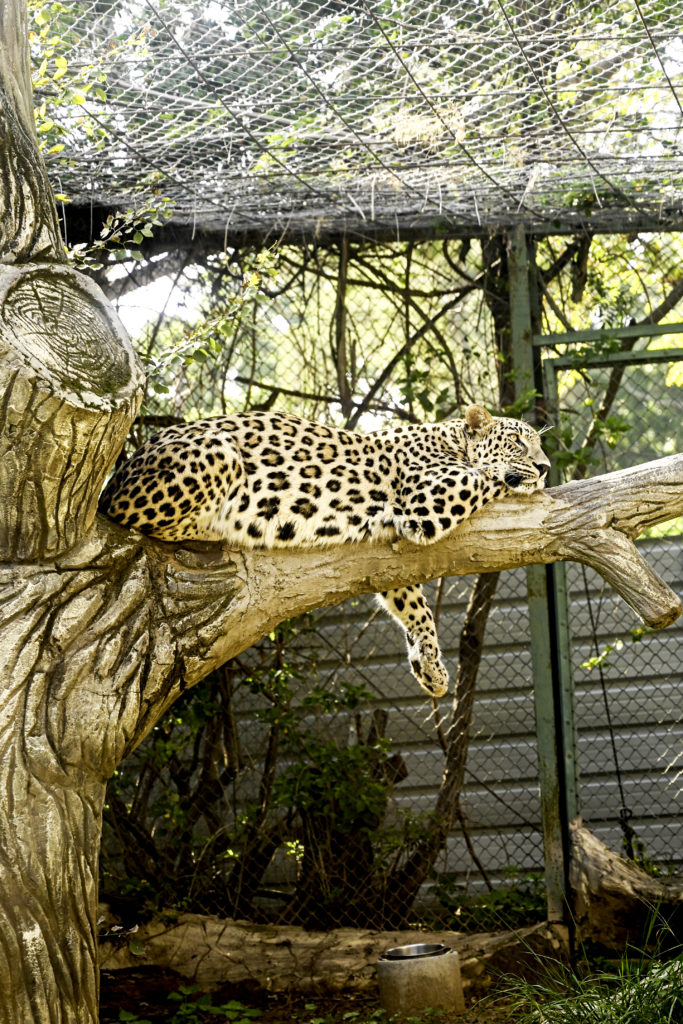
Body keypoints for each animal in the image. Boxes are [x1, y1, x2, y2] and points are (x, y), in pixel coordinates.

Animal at [100, 403, 548, 700]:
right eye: (516, 442)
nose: (544, 467)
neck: (452, 439)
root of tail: (115, 475)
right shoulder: (428, 498)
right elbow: (489, 476)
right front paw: (518, 478)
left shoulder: (395, 560)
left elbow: (414, 606)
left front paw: (431, 669)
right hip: (216, 452)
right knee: (135, 515)